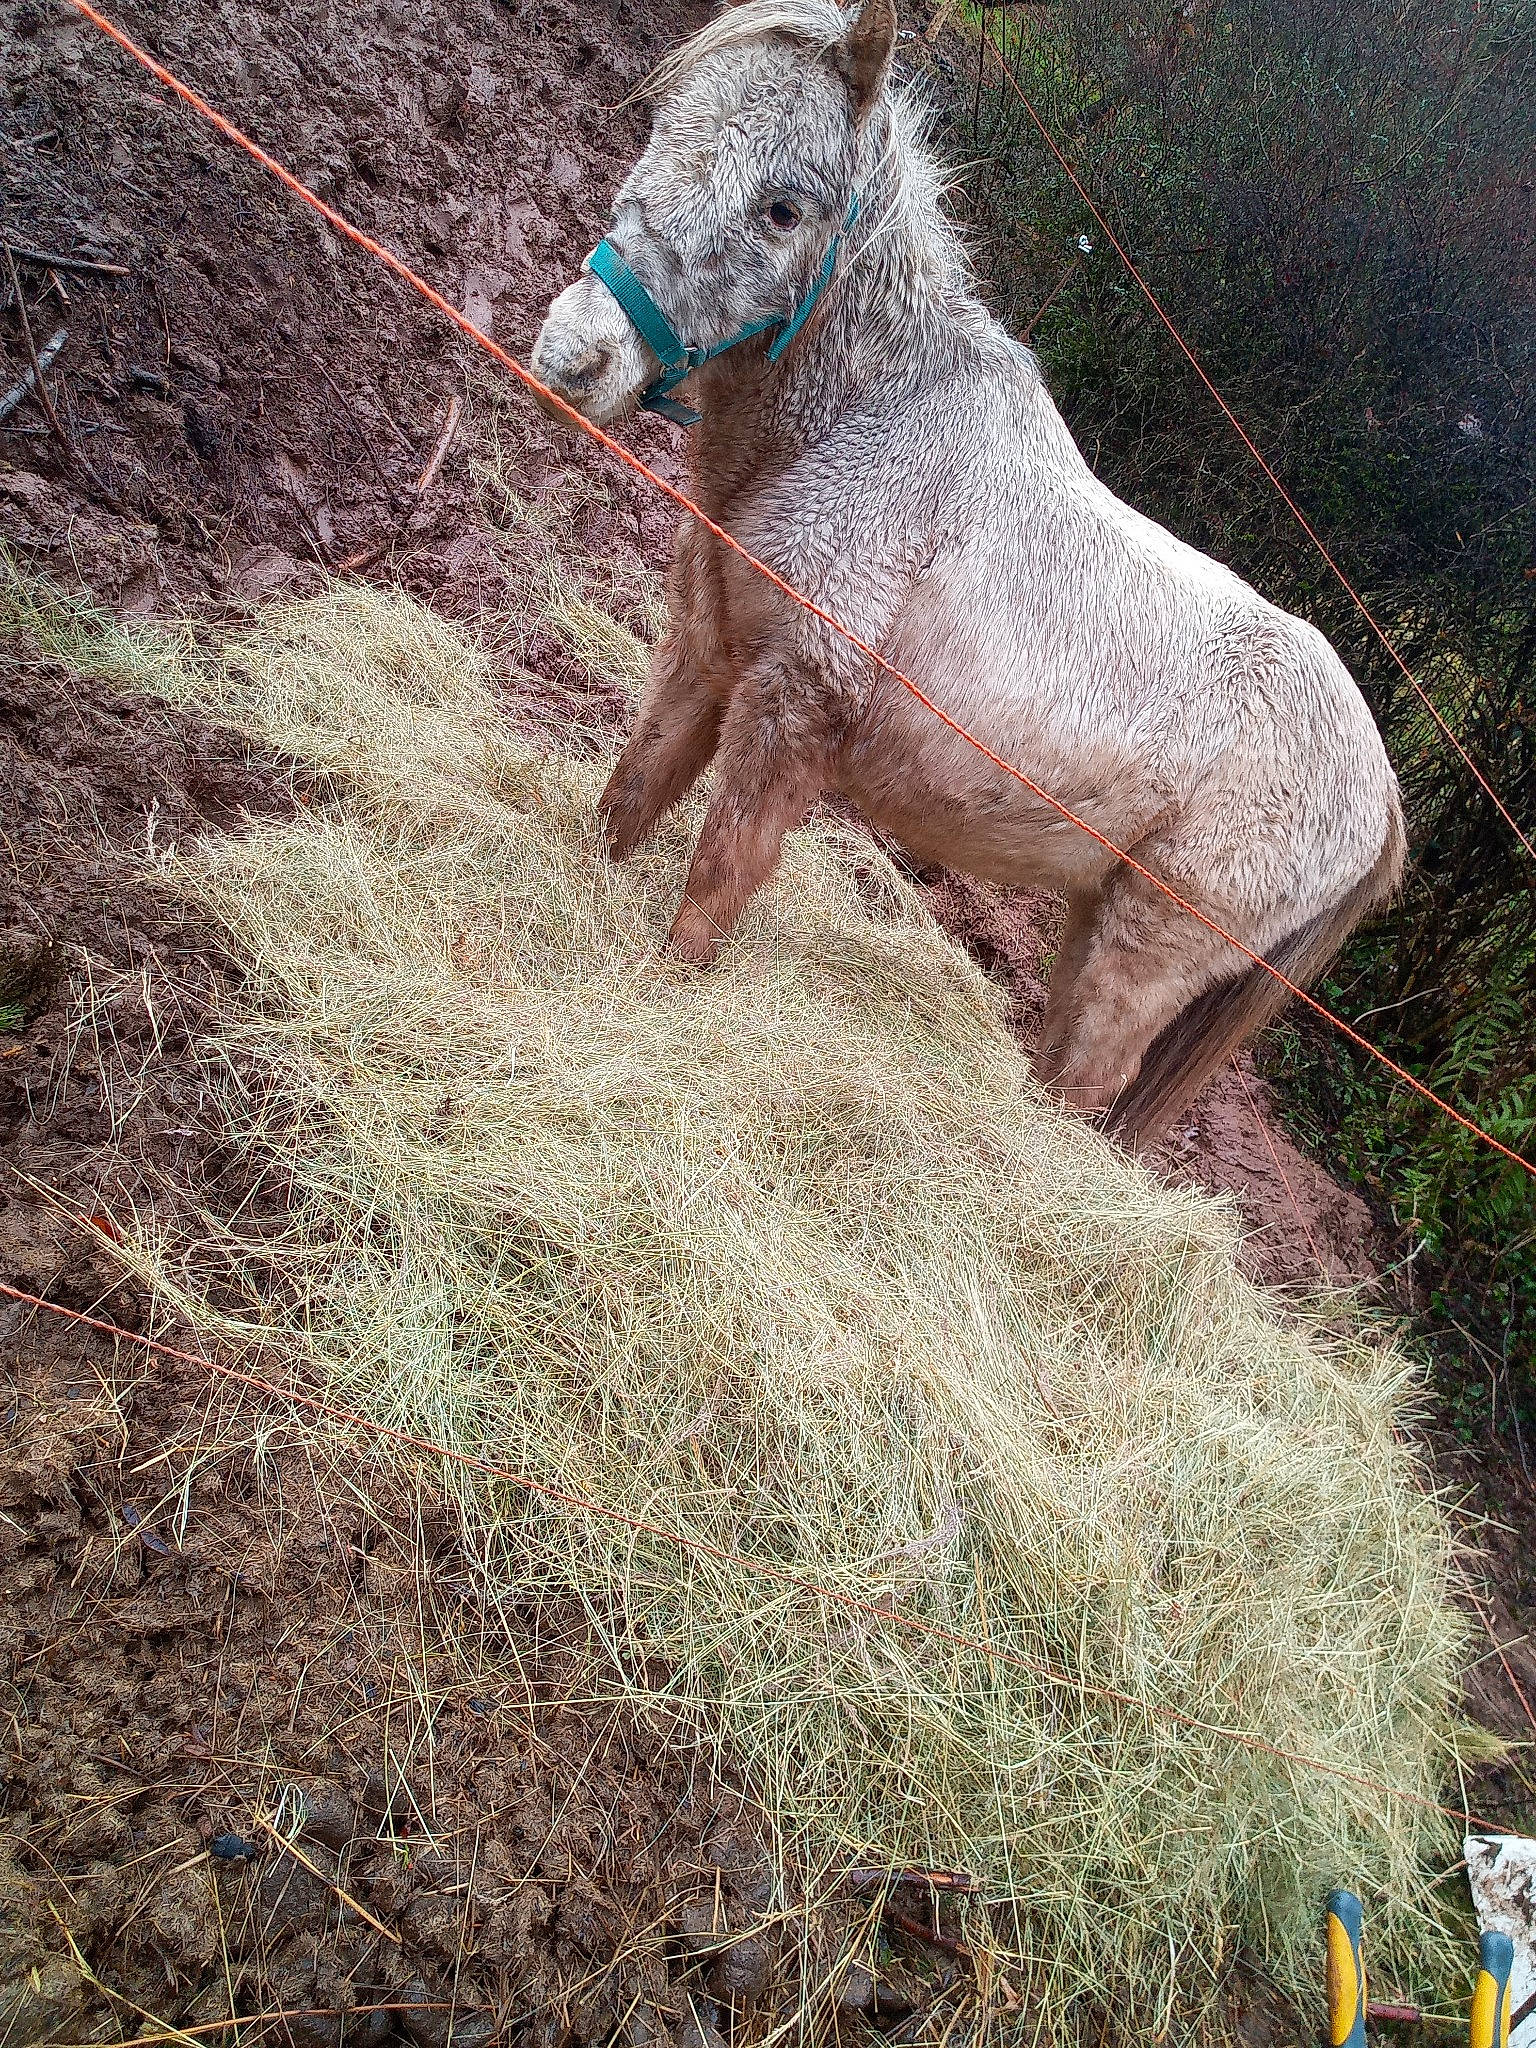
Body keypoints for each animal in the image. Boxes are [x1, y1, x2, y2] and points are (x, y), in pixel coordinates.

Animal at [530, 0, 1404, 1144]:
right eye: (664, 125)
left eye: (782, 208)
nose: (574, 357)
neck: (866, 426)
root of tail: (1381, 795)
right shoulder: (706, 658)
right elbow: (630, 797)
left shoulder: (791, 712)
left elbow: (717, 877)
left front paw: (665, 1000)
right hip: (1090, 921)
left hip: (1143, 958)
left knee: (1084, 1090)